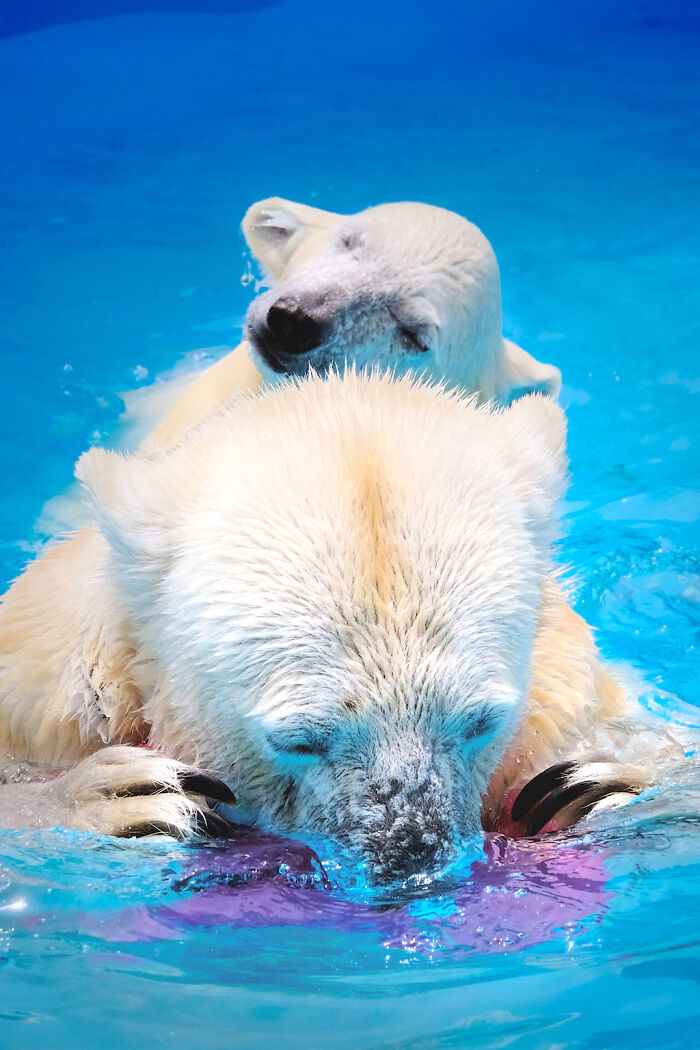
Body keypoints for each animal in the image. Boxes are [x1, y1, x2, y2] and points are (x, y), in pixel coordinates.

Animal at [0, 373, 650, 881]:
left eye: (480, 722)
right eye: (299, 739)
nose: (410, 864)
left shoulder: (565, 695)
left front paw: (593, 788)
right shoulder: (46, 699)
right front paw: (117, 796)